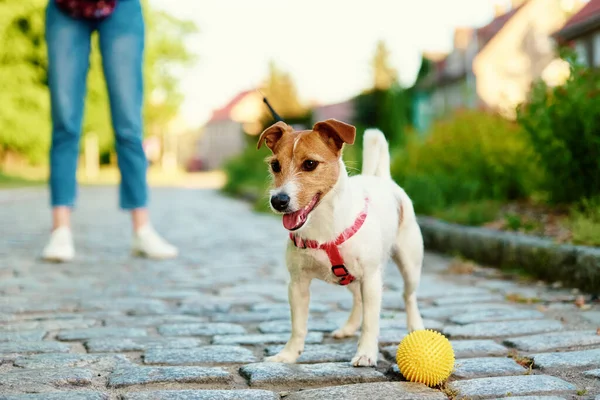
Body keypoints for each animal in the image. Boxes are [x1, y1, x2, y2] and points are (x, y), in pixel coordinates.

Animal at [255, 118, 424, 366]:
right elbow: (298, 326)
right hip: (352, 278)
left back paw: (416, 327)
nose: (278, 200)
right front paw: (288, 354)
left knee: (408, 296)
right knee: (358, 300)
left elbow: (371, 323)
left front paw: (366, 353)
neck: (323, 227)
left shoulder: (371, 279)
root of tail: (381, 178)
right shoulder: (297, 284)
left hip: (409, 266)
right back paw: (348, 328)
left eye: (310, 164)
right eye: (275, 165)